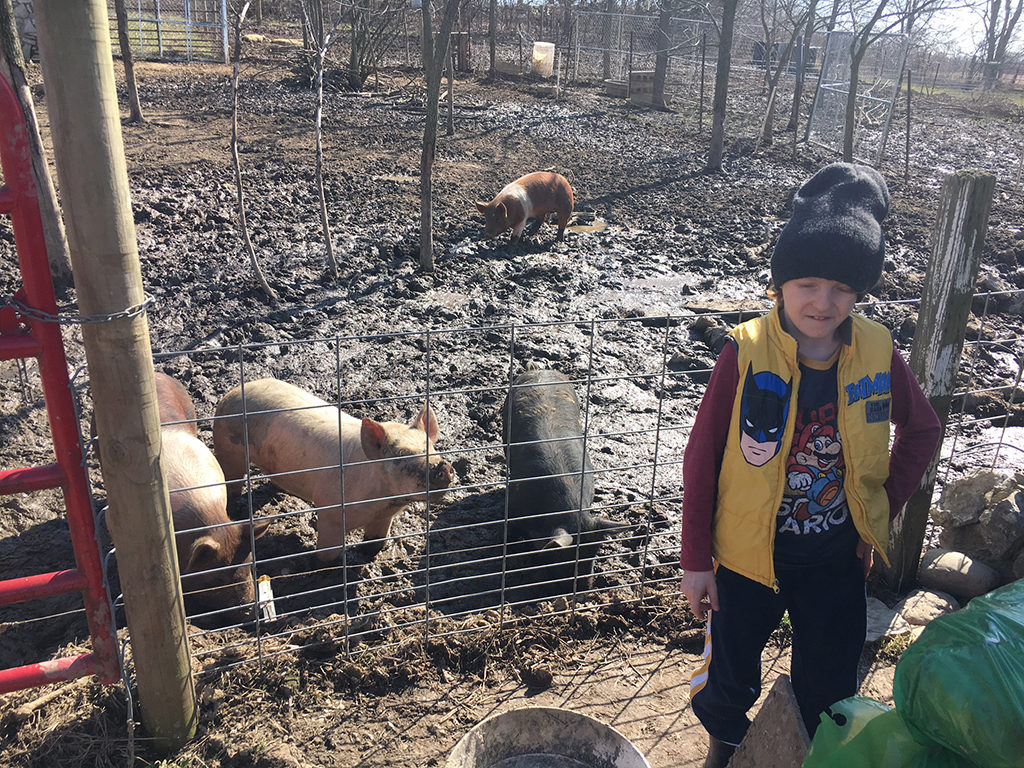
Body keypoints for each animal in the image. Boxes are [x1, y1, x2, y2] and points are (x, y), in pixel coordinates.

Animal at [209, 380, 454, 565]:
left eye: (432, 448)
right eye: (401, 454)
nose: (443, 467)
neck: (382, 501)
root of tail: (233, 391)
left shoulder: (384, 517)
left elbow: (375, 543)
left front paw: (369, 555)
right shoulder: (330, 512)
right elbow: (327, 554)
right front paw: (324, 565)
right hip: (227, 448)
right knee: (232, 480)